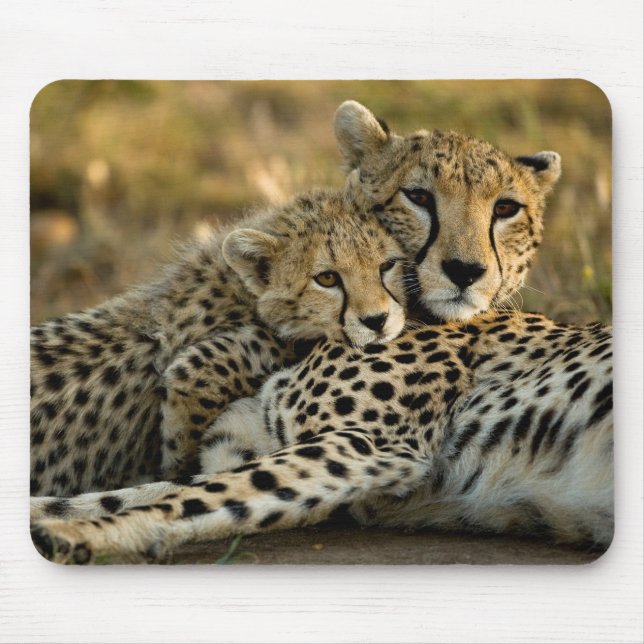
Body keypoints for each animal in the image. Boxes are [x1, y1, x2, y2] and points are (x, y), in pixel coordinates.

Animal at [30, 189, 407, 497]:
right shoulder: (205, 364)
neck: (237, 286)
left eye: (388, 265)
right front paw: (178, 467)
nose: (377, 320)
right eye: (327, 278)